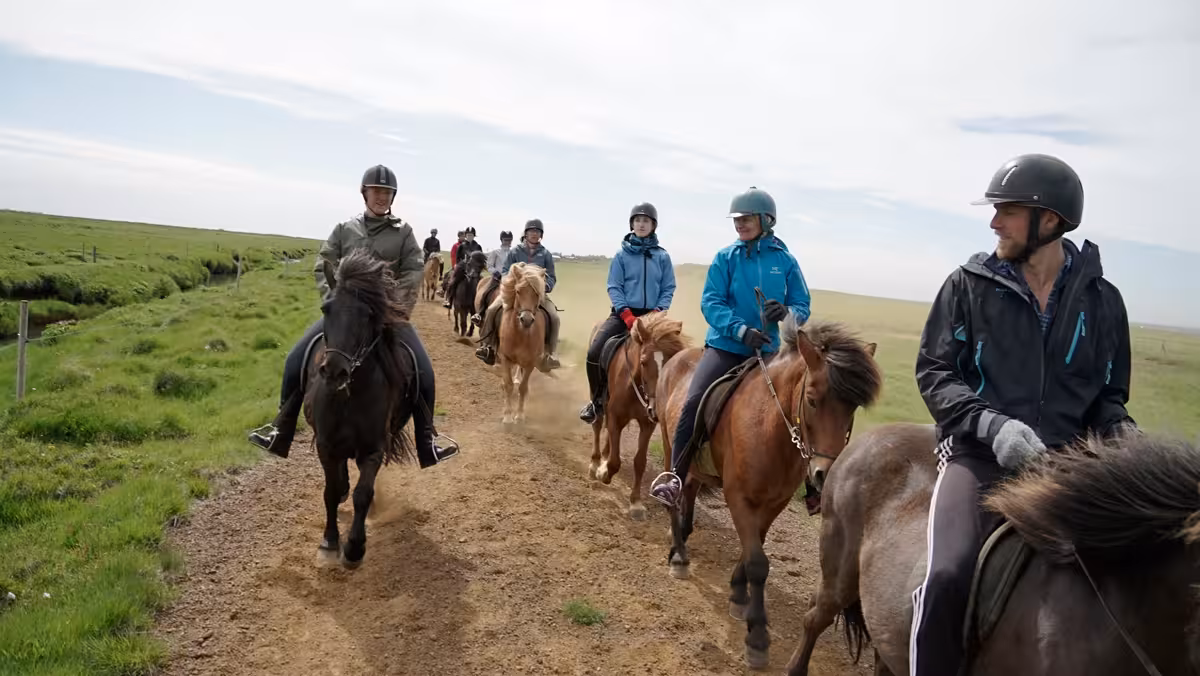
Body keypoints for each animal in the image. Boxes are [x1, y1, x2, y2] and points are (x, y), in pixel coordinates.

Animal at [302, 249, 417, 569]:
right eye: (326, 309)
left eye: (367, 314)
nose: (334, 372)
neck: (349, 396)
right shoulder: (326, 446)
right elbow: (330, 491)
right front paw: (330, 542)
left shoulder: (373, 449)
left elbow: (363, 493)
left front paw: (354, 547)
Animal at [495, 262, 546, 425]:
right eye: (517, 291)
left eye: (537, 293)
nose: (527, 319)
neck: (521, 335)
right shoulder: (505, 358)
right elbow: (508, 385)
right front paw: (507, 416)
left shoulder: (531, 362)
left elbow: (523, 388)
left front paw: (519, 415)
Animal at [587, 312, 690, 521]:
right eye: (643, 361)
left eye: (671, 364)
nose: (657, 409)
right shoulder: (615, 414)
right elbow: (615, 462)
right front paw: (603, 473)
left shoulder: (647, 423)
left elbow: (640, 462)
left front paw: (636, 503)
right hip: (599, 400)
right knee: (598, 424)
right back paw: (595, 464)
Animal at [656, 316, 882, 669]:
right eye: (813, 399)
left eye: (853, 408)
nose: (825, 475)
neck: (770, 426)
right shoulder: (738, 498)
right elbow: (758, 563)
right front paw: (758, 636)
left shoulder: (773, 503)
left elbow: (755, 548)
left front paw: (738, 593)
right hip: (671, 446)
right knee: (674, 495)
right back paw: (679, 555)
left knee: (689, 491)